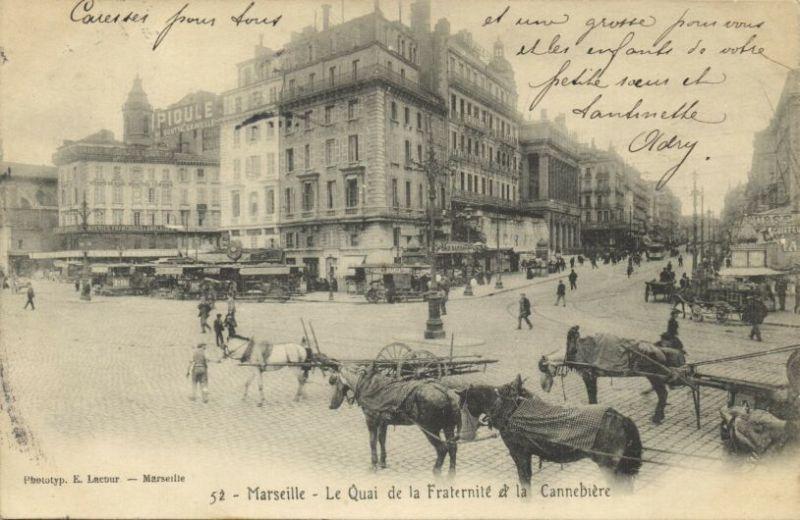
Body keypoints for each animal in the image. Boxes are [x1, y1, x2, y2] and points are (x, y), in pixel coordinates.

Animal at [326, 364, 460, 474]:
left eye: (335, 381)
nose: (331, 405)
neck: (366, 385)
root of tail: (446, 392)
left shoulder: (371, 420)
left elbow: (372, 441)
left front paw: (373, 465)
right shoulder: (383, 422)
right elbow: (382, 440)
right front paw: (382, 462)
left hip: (429, 428)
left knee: (442, 448)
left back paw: (436, 470)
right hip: (448, 426)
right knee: (452, 447)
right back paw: (451, 473)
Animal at [460, 378, 640, 492]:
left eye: (463, 404)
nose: (465, 433)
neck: (509, 408)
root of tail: (620, 418)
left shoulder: (519, 453)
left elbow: (525, 481)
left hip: (611, 469)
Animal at [540, 328, 684, 424]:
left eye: (543, 368)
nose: (542, 387)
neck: (573, 352)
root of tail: (660, 350)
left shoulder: (588, 375)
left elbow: (592, 395)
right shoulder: (593, 376)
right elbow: (593, 395)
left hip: (654, 376)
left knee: (663, 393)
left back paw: (657, 417)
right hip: (656, 376)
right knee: (663, 392)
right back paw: (660, 415)